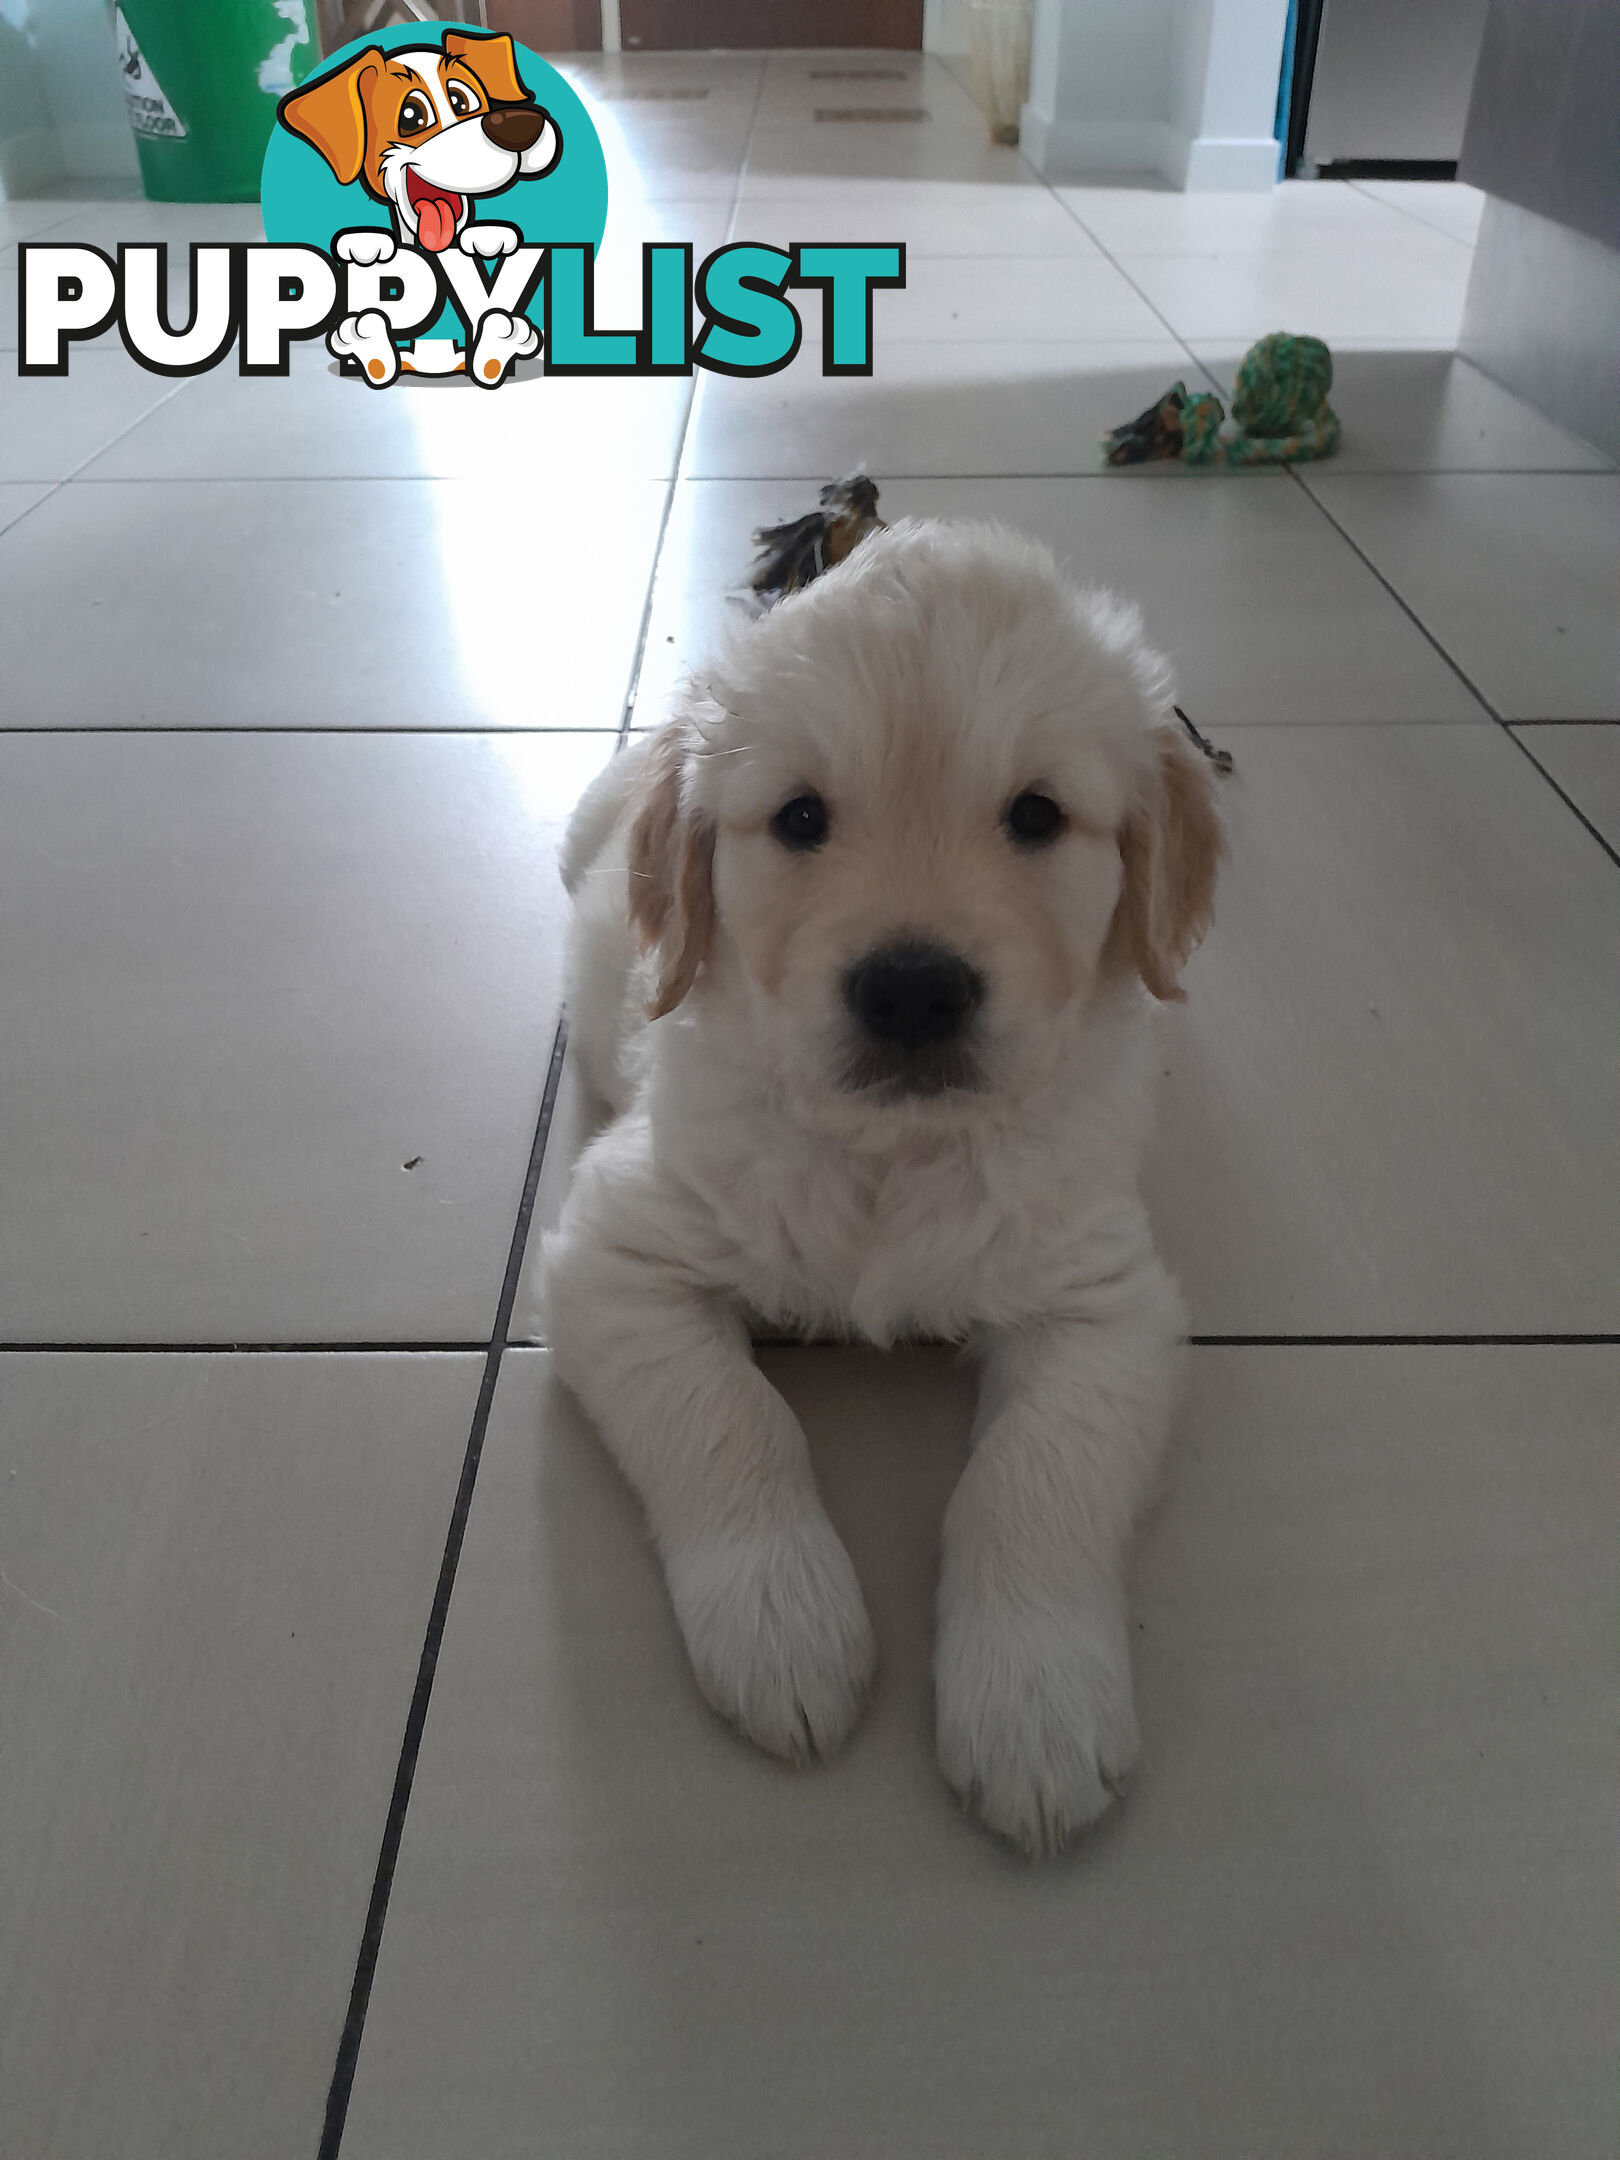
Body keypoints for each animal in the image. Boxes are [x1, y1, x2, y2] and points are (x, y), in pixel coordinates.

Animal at [546, 514, 1218, 1848]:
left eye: (1037, 816)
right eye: (801, 818)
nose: (913, 990)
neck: (888, 1159)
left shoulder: (1104, 1301)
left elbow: (1033, 1477)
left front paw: (1036, 1700)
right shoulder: (618, 1245)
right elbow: (734, 1418)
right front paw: (781, 1622)